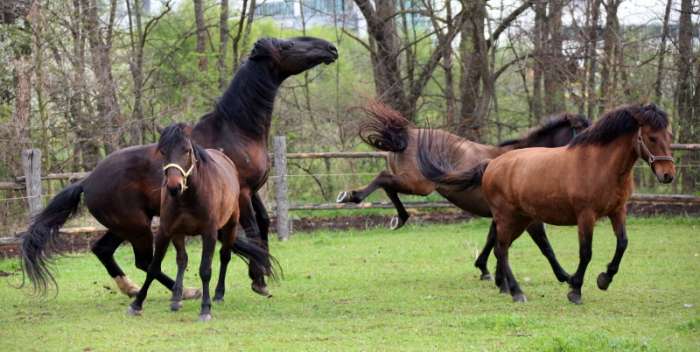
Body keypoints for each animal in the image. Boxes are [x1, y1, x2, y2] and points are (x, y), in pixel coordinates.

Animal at [21, 37, 340, 296]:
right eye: (287, 45)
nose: (331, 48)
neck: (236, 130)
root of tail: (86, 181)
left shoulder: (254, 191)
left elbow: (262, 224)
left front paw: (259, 274)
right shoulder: (243, 194)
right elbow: (251, 230)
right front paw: (259, 278)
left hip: (126, 224)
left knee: (103, 250)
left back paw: (132, 288)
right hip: (137, 226)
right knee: (143, 260)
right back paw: (185, 291)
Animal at [129, 124, 276, 322]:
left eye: (187, 150)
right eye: (163, 151)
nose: (174, 186)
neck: (189, 197)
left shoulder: (209, 233)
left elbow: (205, 270)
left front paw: (205, 308)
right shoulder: (165, 231)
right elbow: (154, 267)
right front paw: (136, 304)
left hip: (230, 226)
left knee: (224, 257)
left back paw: (219, 294)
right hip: (179, 233)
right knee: (182, 260)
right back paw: (176, 298)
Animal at [336, 101, 588, 280]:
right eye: (584, 130)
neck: (526, 161)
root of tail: (407, 136)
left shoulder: (499, 216)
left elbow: (492, 239)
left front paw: (485, 269)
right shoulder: (528, 218)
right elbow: (545, 246)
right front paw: (565, 276)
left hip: (412, 182)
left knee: (388, 185)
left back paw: (399, 218)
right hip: (419, 184)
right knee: (383, 178)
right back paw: (353, 196)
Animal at [418, 103, 676, 304]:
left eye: (669, 136)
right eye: (652, 137)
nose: (668, 175)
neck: (599, 165)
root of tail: (492, 164)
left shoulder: (617, 211)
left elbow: (622, 244)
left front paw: (604, 279)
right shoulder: (585, 215)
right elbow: (585, 252)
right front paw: (575, 289)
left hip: (520, 220)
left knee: (502, 248)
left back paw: (508, 287)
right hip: (507, 217)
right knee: (501, 249)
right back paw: (517, 292)